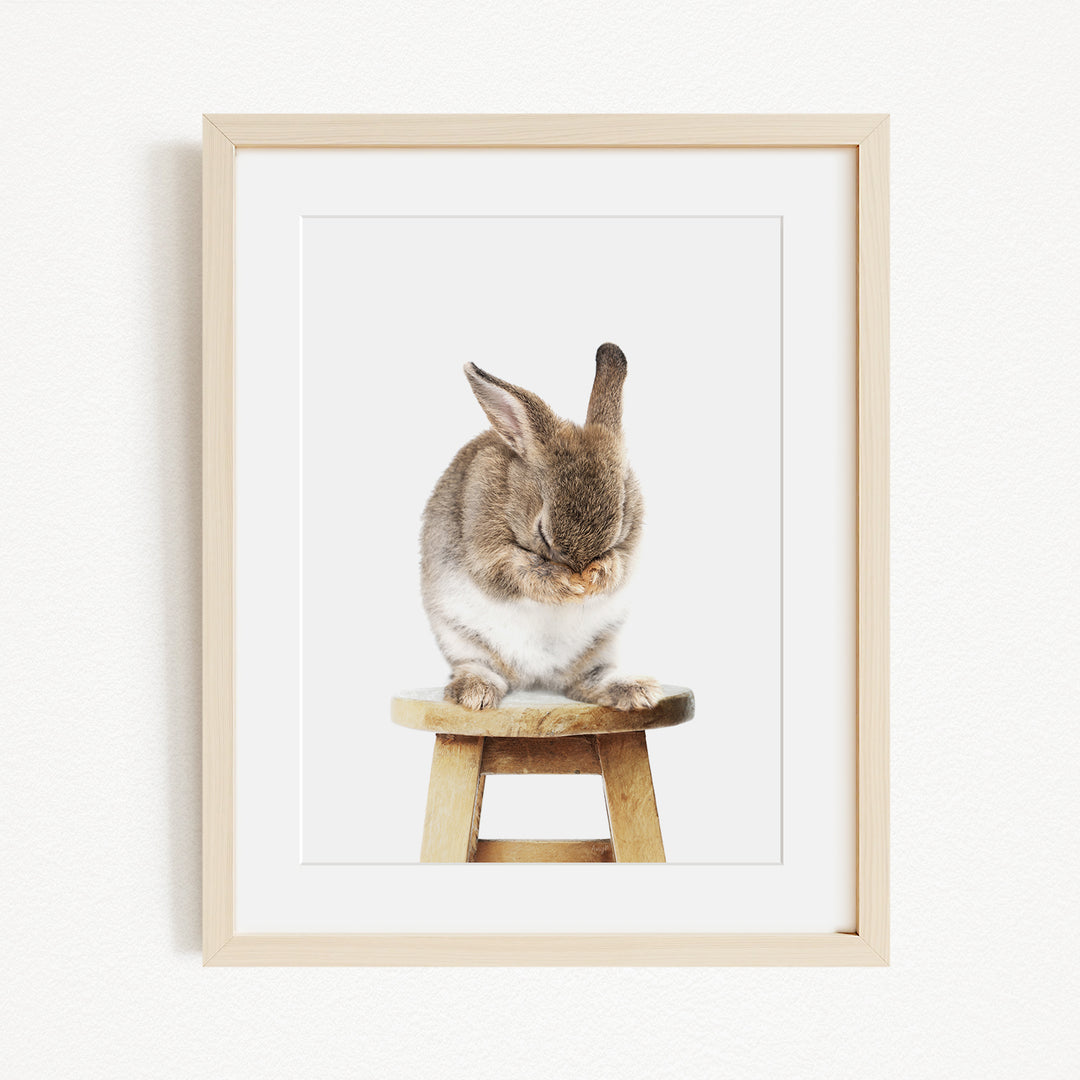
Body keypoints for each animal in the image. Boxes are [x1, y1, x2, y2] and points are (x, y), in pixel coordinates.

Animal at [420, 342, 661, 712]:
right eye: (542, 532)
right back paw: (475, 694)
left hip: (600, 646)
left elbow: (620, 564)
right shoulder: (487, 550)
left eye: (620, 519)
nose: (580, 572)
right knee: (479, 667)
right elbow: (519, 571)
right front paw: (567, 584)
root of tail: (536, 676)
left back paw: (636, 692)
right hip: (461, 638)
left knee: (587, 681)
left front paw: (596, 576)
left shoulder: (629, 547)